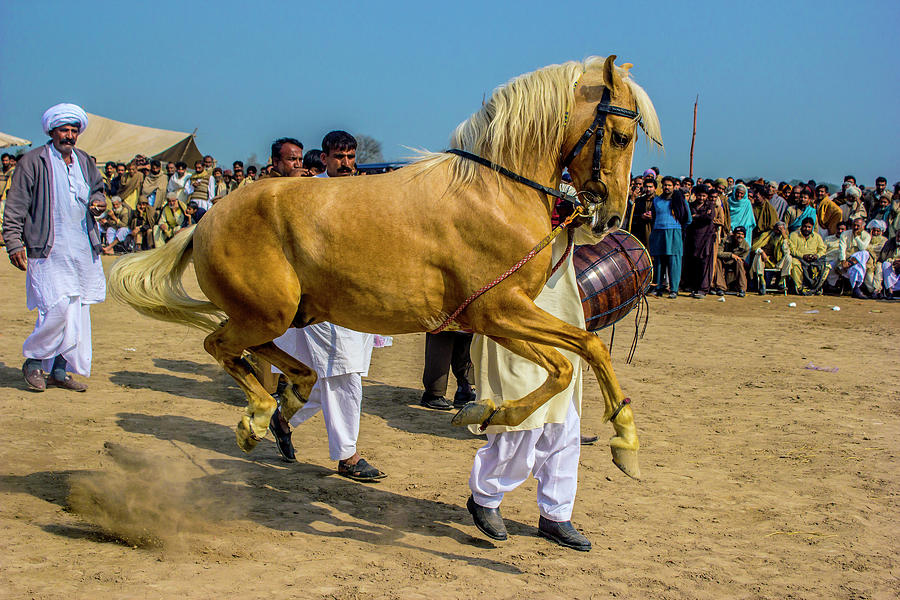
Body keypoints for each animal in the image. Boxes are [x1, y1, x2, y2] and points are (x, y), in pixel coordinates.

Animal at [110, 55, 660, 478]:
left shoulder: (492, 317)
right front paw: (625, 441)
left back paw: (289, 400)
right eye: (618, 135)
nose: (614, 216)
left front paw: (485, 409)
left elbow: (563, 365)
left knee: (269, 359)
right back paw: (259, 416)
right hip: (269, 311)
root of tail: (207, 218)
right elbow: (588, 347)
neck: (496, 191)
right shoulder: (500, 309)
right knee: (219, 345)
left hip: (283, 314)